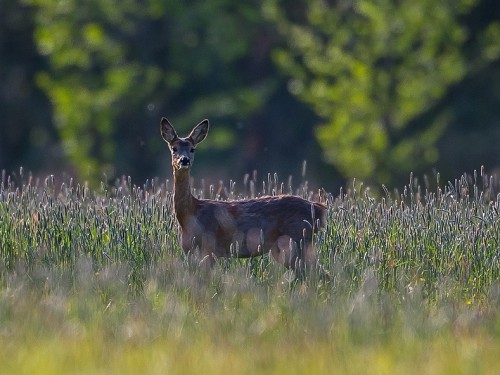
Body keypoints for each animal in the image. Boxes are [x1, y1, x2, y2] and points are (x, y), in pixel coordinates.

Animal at [160, 117, 328, 270]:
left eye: (192, 149)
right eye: (174, 148)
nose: (184, 160)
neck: (190, 213)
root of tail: (319, 208)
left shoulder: (209, 246)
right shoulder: (188, 250)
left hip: (296, 239)